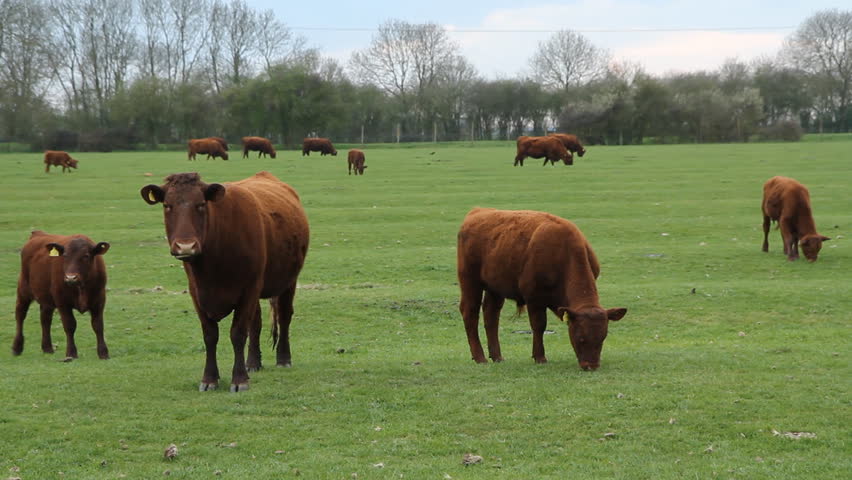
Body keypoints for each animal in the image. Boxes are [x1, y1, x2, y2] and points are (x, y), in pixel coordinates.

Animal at [12, 231, 110, 360]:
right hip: (23, 290)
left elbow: (98, 325)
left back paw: (47, 348)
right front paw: (71, 353)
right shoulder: (62, 302)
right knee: (20, 315)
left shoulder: (99, 300)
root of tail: (37, 233)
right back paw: (17, 347)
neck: (81, 287)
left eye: (86, 256)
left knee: (45, 319)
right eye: (65, 256)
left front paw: (103, 353)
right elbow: (70, 325)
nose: (71, 278)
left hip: (46, 299)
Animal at [141, 171, 309, 392]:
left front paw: (239, 379)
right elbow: (210, 335)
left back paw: (283, 358)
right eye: (167, 205)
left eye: (201, 204)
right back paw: (253, 362)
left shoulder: (248, 289)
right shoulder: (196, 293)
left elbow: (238, 333)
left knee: (284, 316)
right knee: (256, 323)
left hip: (288, 282)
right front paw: (209, 379)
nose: (185, 246)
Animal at [457, 208, 627, 370]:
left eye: (602, 338)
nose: (591, 366)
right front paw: (540, 357)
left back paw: (497, 356)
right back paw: (480, 357)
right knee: (470, 313)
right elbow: (539, 325)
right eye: (581, 338)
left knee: (491, 315)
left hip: (495, 287)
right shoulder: (534, 298)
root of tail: (477, 211)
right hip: (470, 282)